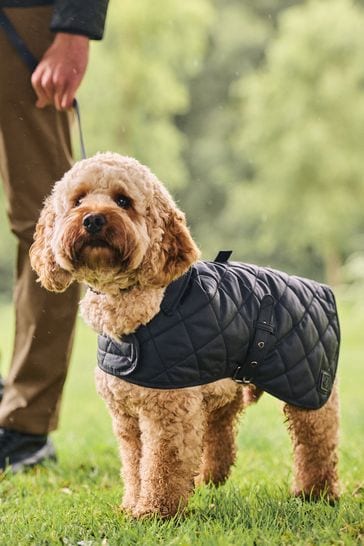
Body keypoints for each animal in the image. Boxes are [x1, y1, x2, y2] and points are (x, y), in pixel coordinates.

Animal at [29, 152, 340, 516]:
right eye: (78, 201)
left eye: (123, 201)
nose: (92, 220)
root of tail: (321, 288)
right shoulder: (126, 417)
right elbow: (134, 465)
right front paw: (132, 504)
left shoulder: (168, 411)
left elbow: (162, 465)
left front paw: (154, 513)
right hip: (225, 388)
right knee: (221, 431)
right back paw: (211, 477)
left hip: (309, 390)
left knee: (317, 443)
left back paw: (316, 493)